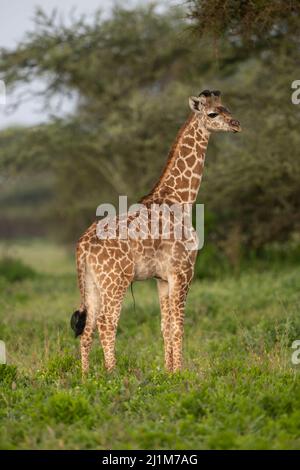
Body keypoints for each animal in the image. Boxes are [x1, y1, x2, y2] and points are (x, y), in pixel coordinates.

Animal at [71, 89, 241, 374]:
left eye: (227, 107)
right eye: (212, 114)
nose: (236, 124)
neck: (181, 199)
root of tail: (82, 246)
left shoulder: (162, 278)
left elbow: (165, 327)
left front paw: (168, 372)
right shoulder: (183, 272)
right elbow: (179, 327)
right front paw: (181, 373)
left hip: (92, 283)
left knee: (88, 327)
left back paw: (86, 378)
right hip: (115, 281)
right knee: (107, 323)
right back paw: (112, 374)